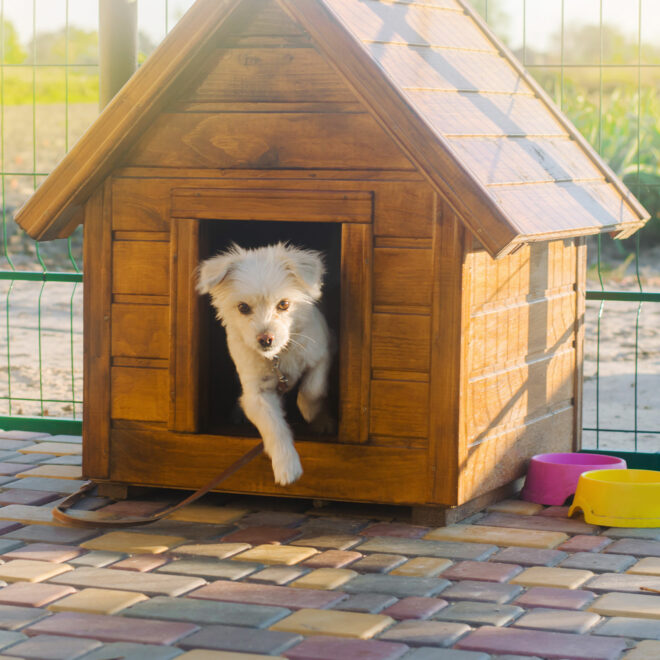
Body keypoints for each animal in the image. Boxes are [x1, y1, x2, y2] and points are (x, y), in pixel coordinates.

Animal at [195, 242, 330, 484]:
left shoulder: (322, 353)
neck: (278, 356)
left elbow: (312, 390)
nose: (265, 339)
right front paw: (287, 465)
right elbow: (274, 427)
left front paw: (311, 413)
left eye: (284, 304)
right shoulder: (257, 395)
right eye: (243, 308)